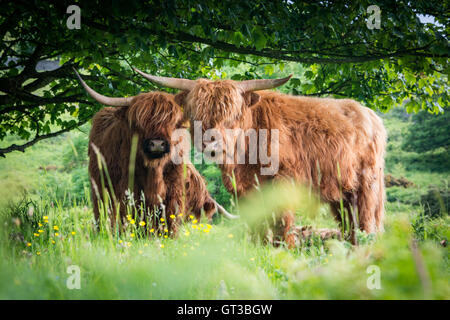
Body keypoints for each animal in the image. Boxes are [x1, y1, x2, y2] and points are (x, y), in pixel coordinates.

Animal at [74, 70, 236, 236]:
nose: (157, 144)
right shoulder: (128, 190)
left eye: (173, 123)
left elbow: (170, 217)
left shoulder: (173, 190)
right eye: (139, 123)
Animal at [134, 69, 386, 245]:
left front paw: (284, 249)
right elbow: (257, 224)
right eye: (197, 115)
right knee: (348, 223)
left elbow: (282, 223)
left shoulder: (283, 182)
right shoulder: (245, 190)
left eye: (232, 116)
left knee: (366, 220)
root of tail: (370, 115)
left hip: (367, 183)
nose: (211, 143)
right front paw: (260, 248)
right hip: (342, 192)